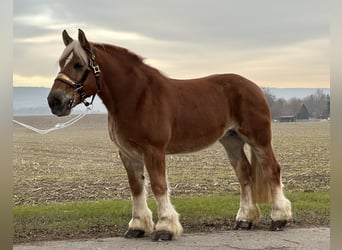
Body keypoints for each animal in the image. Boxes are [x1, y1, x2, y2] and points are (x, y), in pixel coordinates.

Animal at [47, 29, 292, 242]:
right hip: (231, 141)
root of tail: (255, 87)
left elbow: (158, 186)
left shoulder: (153, 150)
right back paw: (244, 219)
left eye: (78, 64)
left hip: (259, 139)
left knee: (272, 170)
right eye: (60, 63)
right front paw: (137, 226)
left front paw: (165, 228)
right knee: (244, 174)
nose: (55, 101)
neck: (136, 97)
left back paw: (279, 218)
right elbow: (136, 187)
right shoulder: (127, 153)